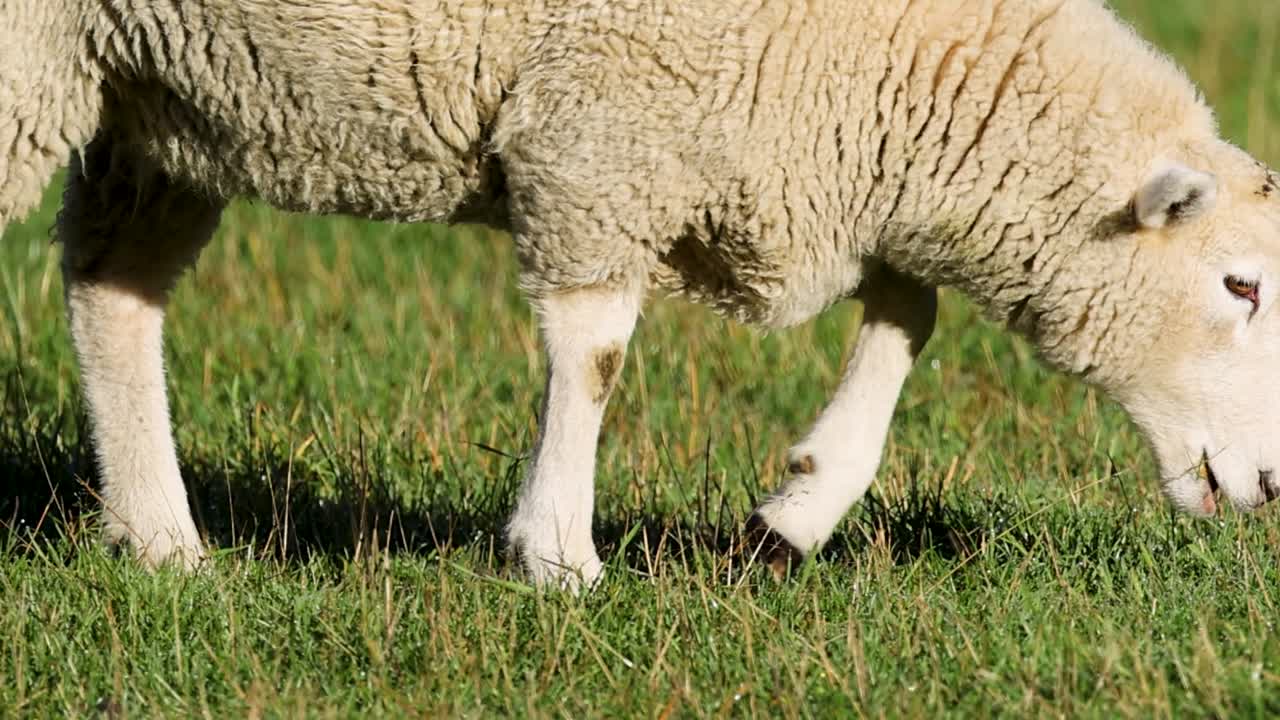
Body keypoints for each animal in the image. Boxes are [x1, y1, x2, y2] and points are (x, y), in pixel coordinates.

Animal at [3, 0, 1279, 590]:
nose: (1268, 486)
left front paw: (792, 513)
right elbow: (597, 354)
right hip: (44, 57)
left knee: (114, 292)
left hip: (151, 91)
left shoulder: (793, 157)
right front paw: (559, 554)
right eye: (1239, 284)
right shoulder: (599, 139)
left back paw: (162, 541)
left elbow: (909, 311)